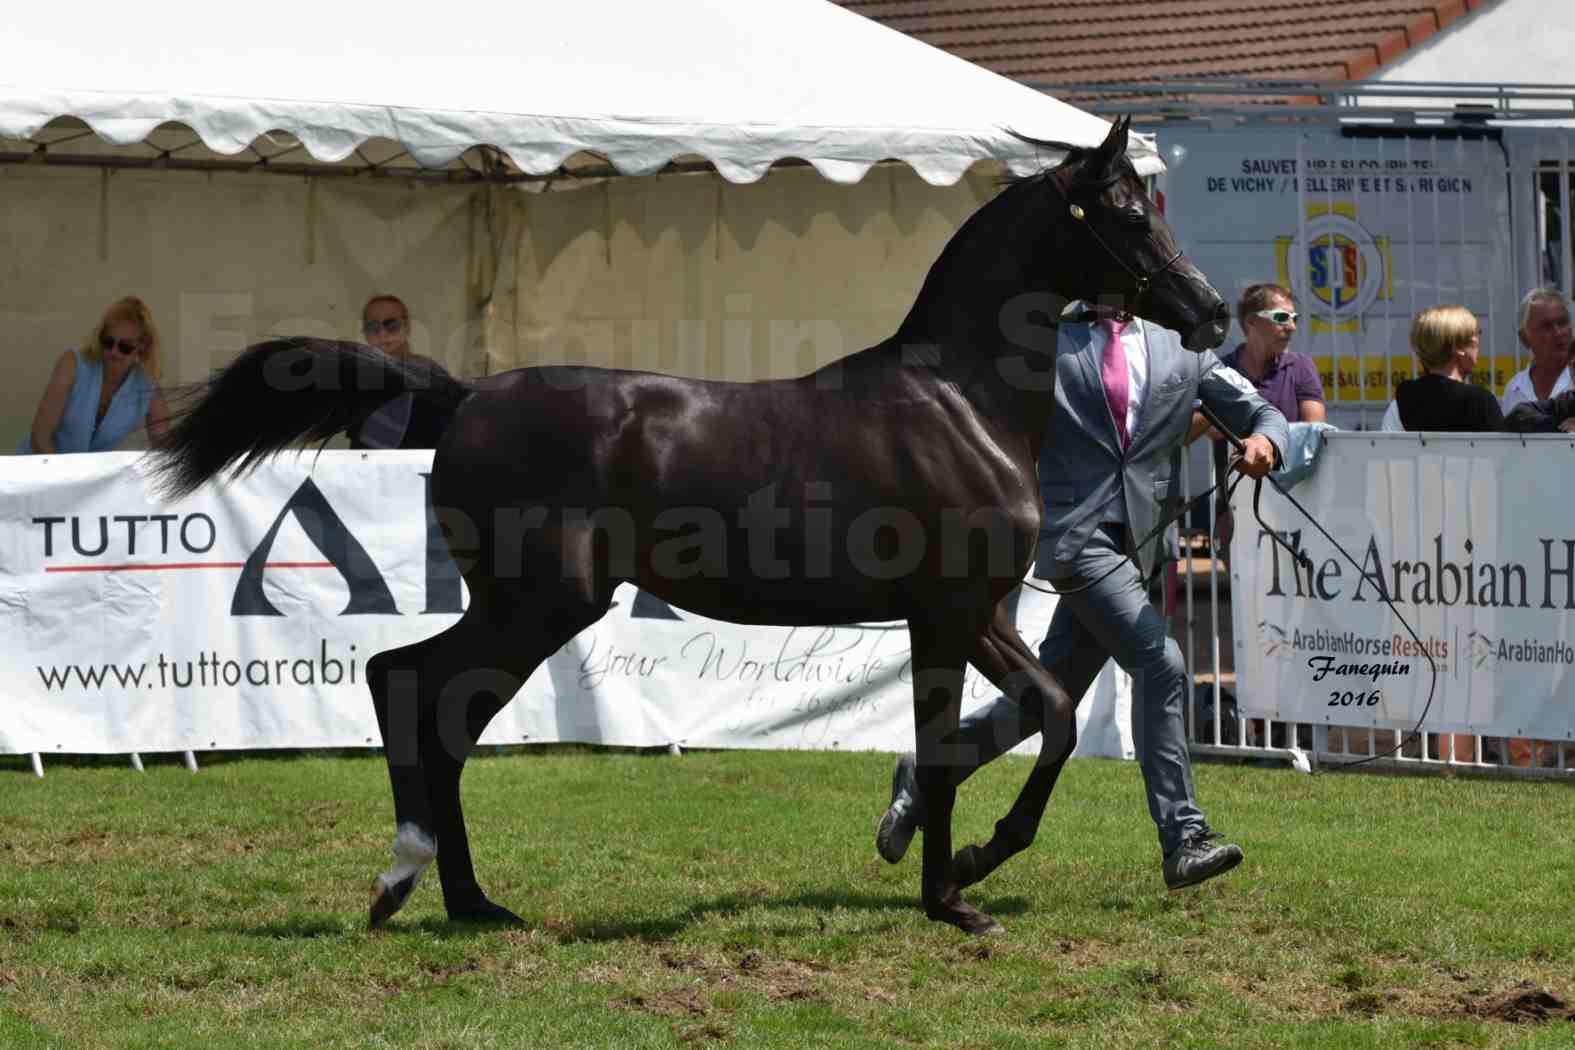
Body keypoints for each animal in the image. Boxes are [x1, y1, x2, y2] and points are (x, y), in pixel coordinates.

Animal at [150, 117, 1228, 938]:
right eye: (1124, 212)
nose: (1212, 310)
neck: (957, 401)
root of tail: (463, 399)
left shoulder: (971, 616)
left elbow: (1000, 727)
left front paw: (950, 879)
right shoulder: (949, 611)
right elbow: (991, 732)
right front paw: (963, 878)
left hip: (531, 605)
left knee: (435, 707)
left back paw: (469, 902)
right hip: (540, 602)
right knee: (410, 685)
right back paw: (406, 880)